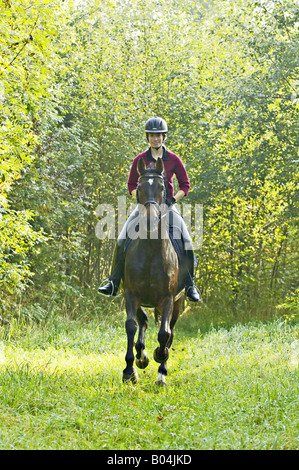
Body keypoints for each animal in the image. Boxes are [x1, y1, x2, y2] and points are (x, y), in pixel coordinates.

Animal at [120, 158, 186, 386]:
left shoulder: (168, 298)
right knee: (143, 322)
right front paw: (130, 369)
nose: (150, 220)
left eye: (162, 187)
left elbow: (164, 334)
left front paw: (160, 356)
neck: (150, 251)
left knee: (170, 331)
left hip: (178, 302)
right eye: (139, 187)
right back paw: (141, 357)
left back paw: (161, 372)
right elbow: (131, 326)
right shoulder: (130, 294)